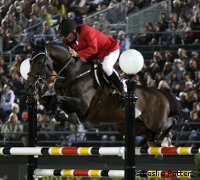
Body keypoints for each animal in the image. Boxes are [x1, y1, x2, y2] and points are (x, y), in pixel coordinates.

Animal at [24, 43, 182, 146]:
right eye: (29, 62)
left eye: (40, 62)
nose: (30, 86)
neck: (72, 74)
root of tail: (160, 92)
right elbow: (47, 99)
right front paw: (58, 116)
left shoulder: (82, 107)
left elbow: (57, 99)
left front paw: (63, 116)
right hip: (126, 125)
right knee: (149, 133)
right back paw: (152, 140)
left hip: (156, 121)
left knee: (171, 122)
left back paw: (165, 140)